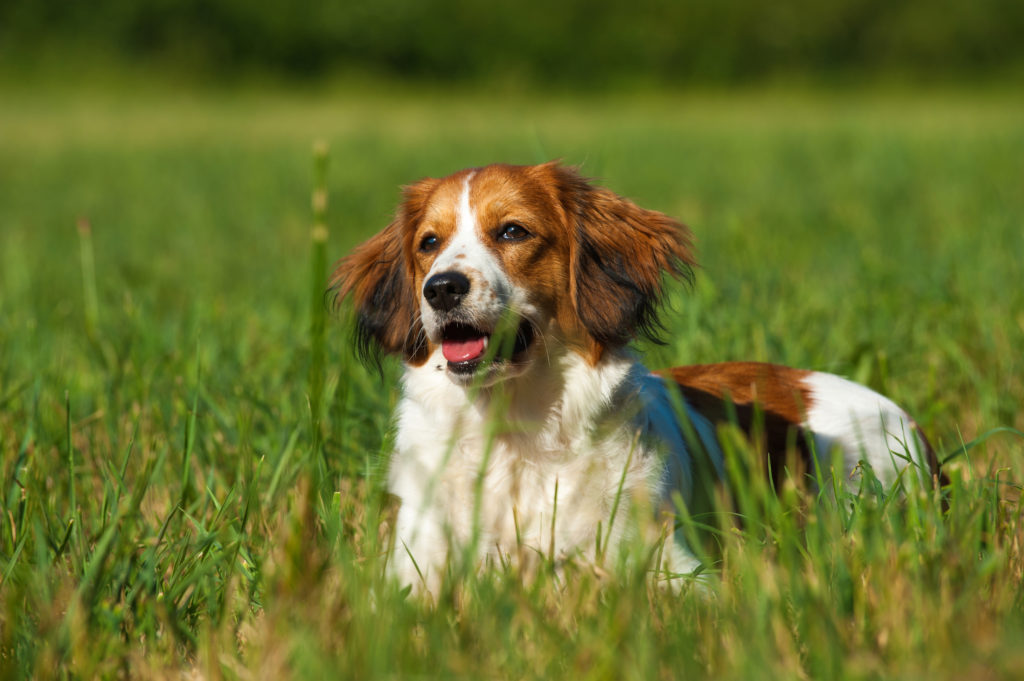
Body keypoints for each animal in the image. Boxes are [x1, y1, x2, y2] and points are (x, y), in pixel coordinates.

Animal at [329, 161, 942, 593]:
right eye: (429, 244)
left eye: (512, 232)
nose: (441, 288)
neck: (515, 429)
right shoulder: (414, 566)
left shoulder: (669, 565)